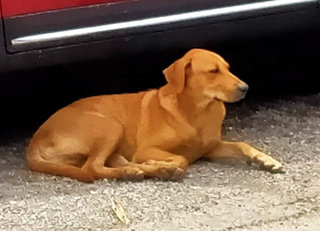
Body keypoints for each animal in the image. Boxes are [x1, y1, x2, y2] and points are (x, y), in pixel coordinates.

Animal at [26, 49, 282, 182]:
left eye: (228, 68)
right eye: (213, 71)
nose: (246, 88)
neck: (197, 112)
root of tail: (35, 140)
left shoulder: (211, 148)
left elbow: (242, 144)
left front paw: (266, 160)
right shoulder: (146, 149)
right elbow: (181, 158)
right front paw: (164, 163)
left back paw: (141, 170)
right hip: (109, 126)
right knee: (92, 169)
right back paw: (148, 170)